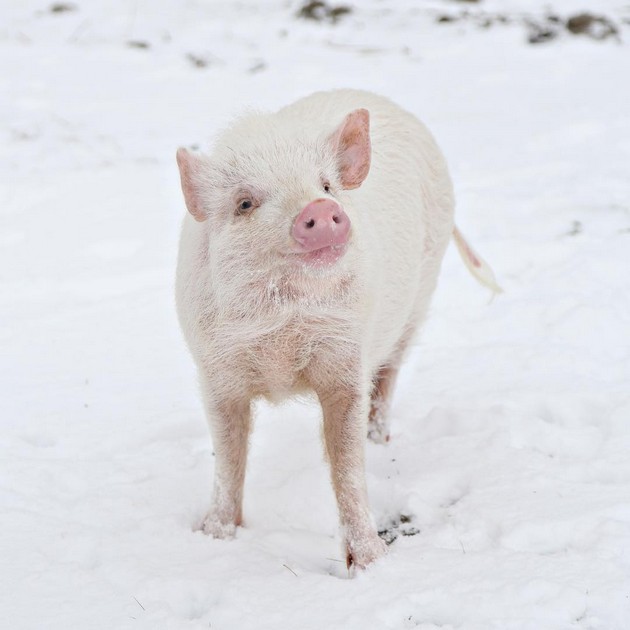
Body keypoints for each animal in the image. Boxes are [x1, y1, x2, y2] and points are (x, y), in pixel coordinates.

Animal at [174, 90, 498, 572]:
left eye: (326, 186)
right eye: (245, 203)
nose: (322, 209)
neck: (283, 336)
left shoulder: (346, 362)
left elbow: (347, 464)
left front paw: (370, 563)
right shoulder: (216, 373)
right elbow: (228, 457)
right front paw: (214, 536)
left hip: (418, 301)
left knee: (389, 374)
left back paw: (378, 439)